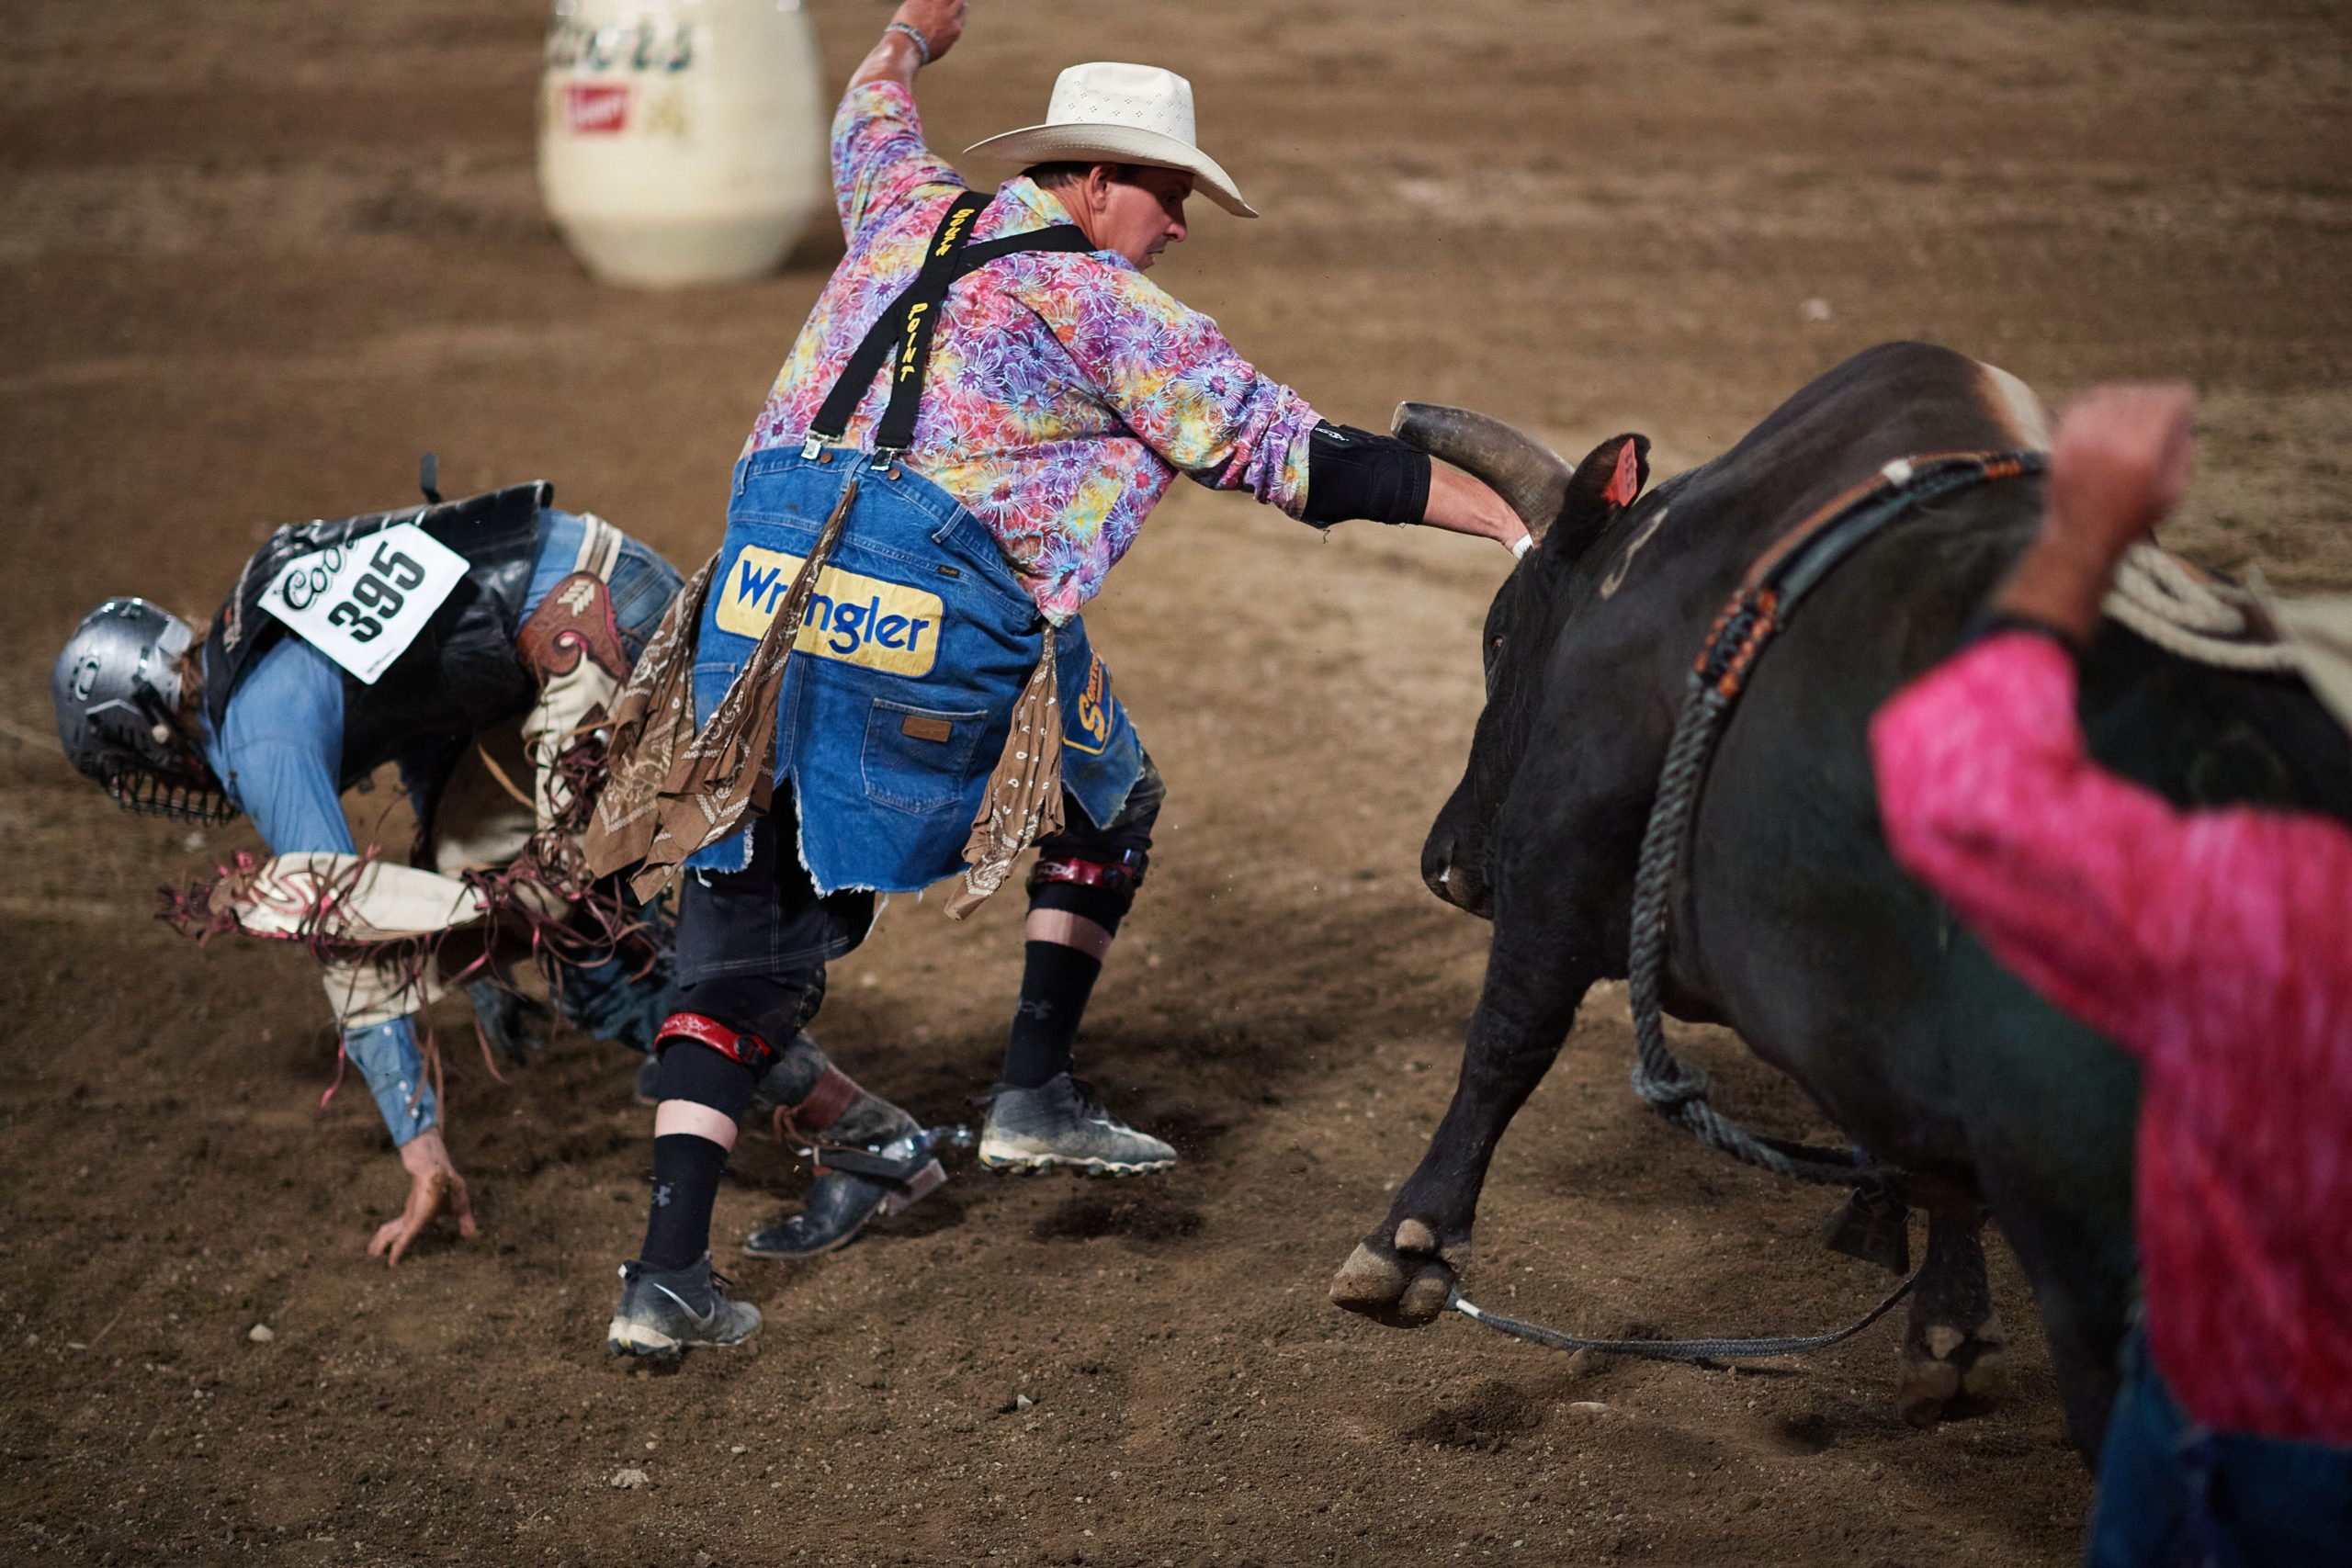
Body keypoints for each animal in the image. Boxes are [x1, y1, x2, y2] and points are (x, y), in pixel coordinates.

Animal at [1336, 343, 2342, 1457]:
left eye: (1500, 639)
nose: (1445, 862)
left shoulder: (1555, 864)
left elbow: (1504, 1045)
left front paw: (1408, 1246)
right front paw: (1947, 1330)